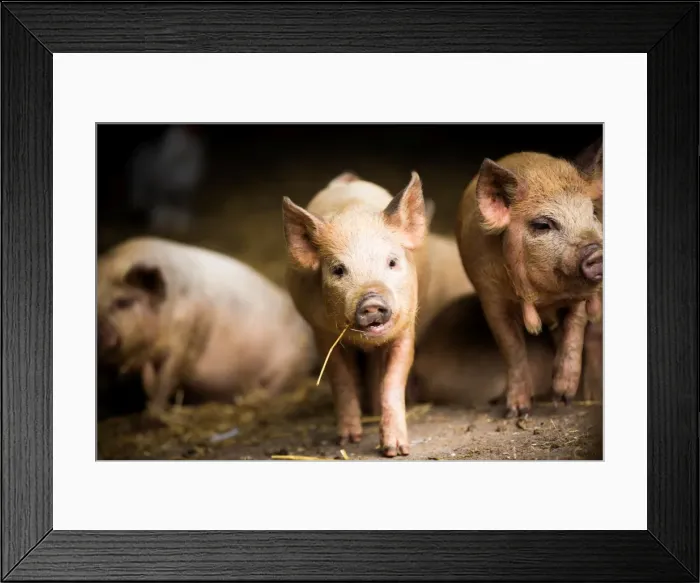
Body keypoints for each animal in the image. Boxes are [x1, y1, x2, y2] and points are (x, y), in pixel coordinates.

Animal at [97, 236, 317, 422]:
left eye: (123, 302)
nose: (101, 335)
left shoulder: (190, 333)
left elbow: (167, 377)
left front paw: (154, 414)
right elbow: (148, 383)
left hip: (291, 360)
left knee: (279, 384)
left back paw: (253, 398)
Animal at [282, 172, 428, 457]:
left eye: (392, 262)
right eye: (338, 270)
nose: (371, 302)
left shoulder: (406, 329)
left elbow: (393, 380)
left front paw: (396, 451)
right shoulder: (323, 333)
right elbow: (340, 378)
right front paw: (348, 440)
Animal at [456, 140, 603, 417]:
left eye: (592, 214)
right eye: (543, 225)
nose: (596, 251)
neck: (545, 299)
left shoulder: (579, 297)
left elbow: (575, 332)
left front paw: (563, 399)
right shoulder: (490, 297)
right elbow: (512, 346)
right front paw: (517, 411)